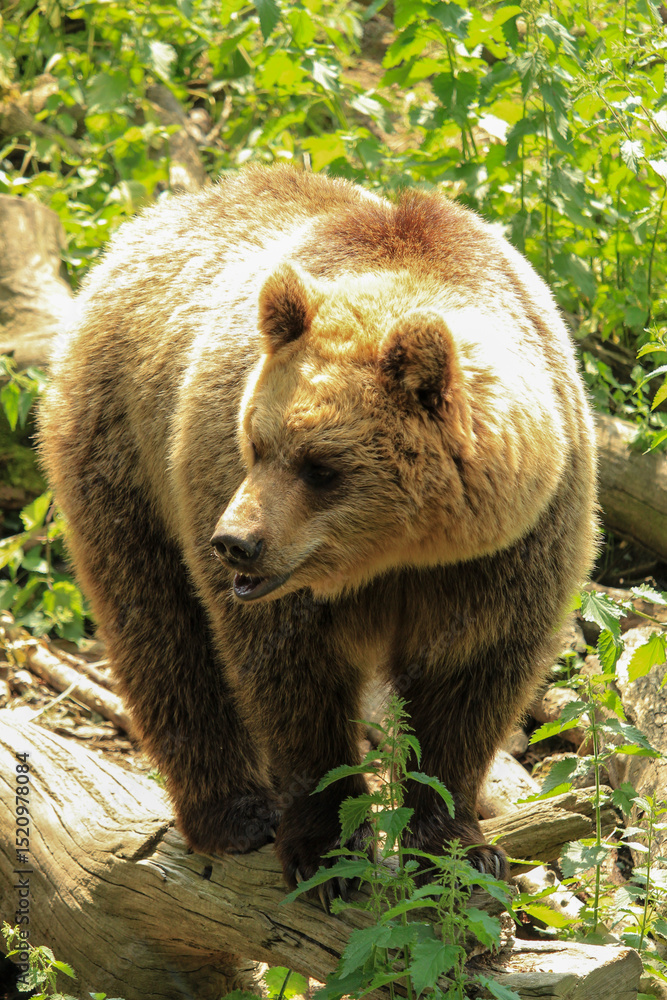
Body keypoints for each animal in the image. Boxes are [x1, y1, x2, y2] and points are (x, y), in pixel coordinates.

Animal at [39, 165, 597, 898]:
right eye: (254, 443)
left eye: (322, 466)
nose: (234, 543)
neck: (399, 554)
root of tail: (148, 224)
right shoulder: (244, 514)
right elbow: (292, 677)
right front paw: (326, 848)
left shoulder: (511, 551)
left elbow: (467, 682)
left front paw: (458, 850)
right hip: (124, 452)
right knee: (160, 628)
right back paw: (232, 812)